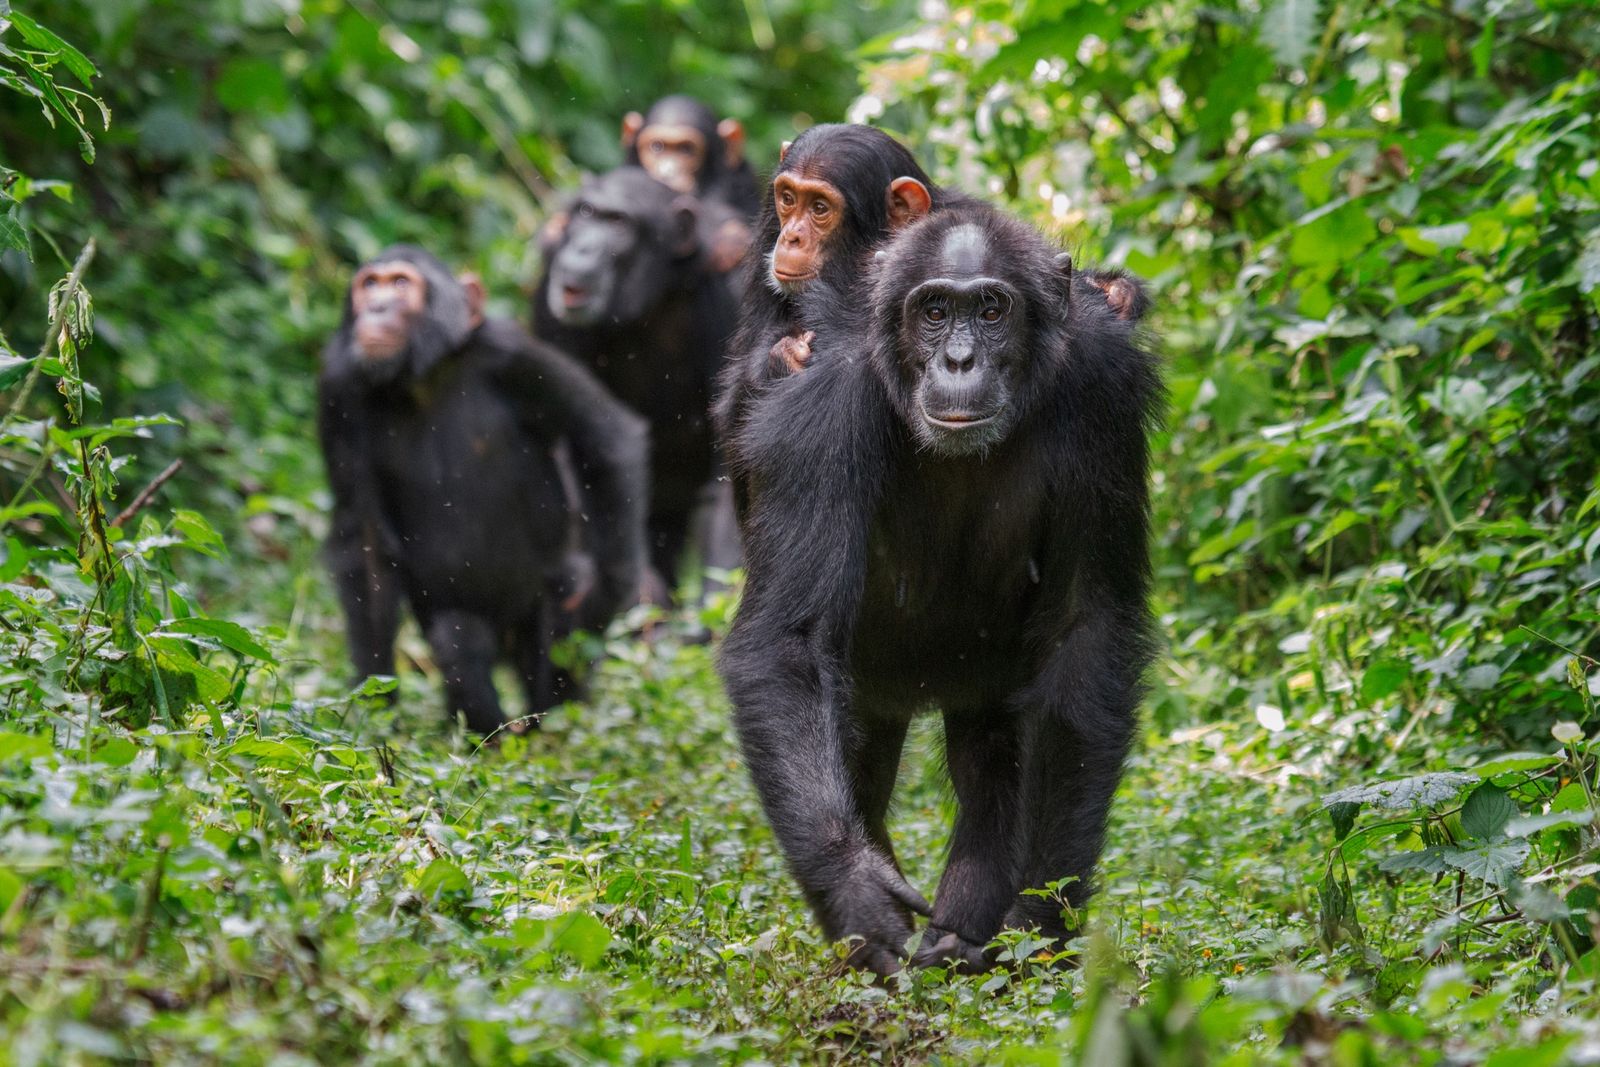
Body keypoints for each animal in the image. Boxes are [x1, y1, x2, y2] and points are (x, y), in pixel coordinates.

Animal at [321, 246, 646, 739]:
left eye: (400, 284)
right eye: (369, 285)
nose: (375, 308)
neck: (426, 376)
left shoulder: (515, 355)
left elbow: (603, 438)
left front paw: (607, 595)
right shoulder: (338, 387)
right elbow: (364, 543)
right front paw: (375, 711)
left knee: (560, 616)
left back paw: (555, 724)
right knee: (459, 640)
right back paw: (494, 737)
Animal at [716, 202, 1164, 979]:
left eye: (989, 309)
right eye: (933, 311)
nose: (959, 359)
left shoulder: (1104, 394)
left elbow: (1086, 629)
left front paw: (1042, 913)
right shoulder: (822, 407)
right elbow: (788, 640)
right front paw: (858, 892)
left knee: (993, 763)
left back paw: (963, 941)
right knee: (860, 759)